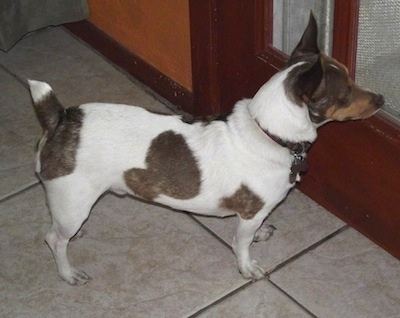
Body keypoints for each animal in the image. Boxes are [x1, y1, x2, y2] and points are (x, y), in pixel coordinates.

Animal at [28, 13, 384, 284]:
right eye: (346, 92)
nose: (381, 99)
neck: (268, 132)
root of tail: (61, 119)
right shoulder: (251, 212)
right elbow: (241, 243)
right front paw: (247, 266)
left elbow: (252, 233)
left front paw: (261, 236)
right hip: (74, 200)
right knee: (54, 239)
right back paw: (68, 272)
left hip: (70, 202)